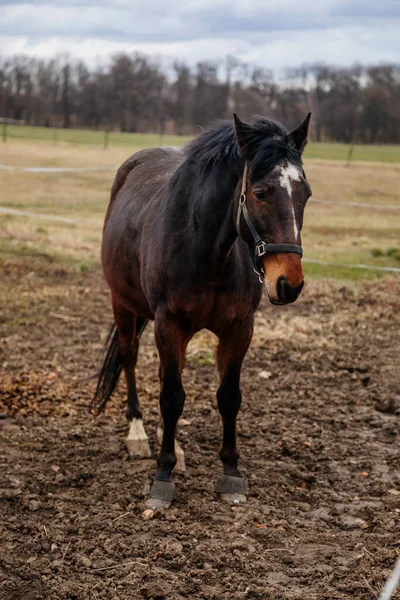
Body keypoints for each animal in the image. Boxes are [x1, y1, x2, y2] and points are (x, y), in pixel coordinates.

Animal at [94, 112, 312, 506]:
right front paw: (162, 476)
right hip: (123, 303)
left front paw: (231, 473)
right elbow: (171, 398)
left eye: (306, 193)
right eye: (260, 193)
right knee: (130, 357)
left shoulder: (239, 328)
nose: (289, 283)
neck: (208, 251)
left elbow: (228, 397)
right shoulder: (168, 323)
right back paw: (138, 435)